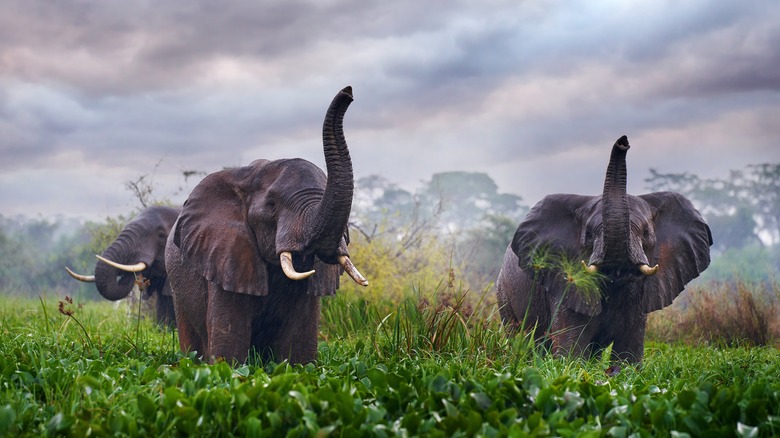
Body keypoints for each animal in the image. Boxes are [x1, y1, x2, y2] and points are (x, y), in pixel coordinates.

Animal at [496, 134, 708, 362]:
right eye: (589, 234)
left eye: (645, 234)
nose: (623, 141)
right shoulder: (566, 284)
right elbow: (571, 352)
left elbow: (628, 356)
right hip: (503, 295)